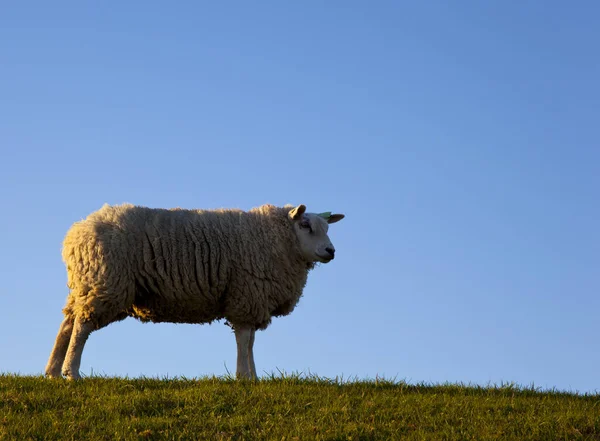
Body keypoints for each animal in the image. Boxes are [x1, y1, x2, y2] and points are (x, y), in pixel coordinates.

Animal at [44, 203, 344, 378]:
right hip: (106, 282)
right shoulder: (246, 294)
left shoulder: (252, 300)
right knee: (82, 326)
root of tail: (74, 234)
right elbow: (244, 340)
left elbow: (250, 342)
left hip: (89, 284)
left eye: (327, 228)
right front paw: (244, 377)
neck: (277, 239)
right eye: (305, 225)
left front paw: (253, 377)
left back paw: (53, 371)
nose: (331, 251)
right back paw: (72, 372)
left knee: (68, 323)